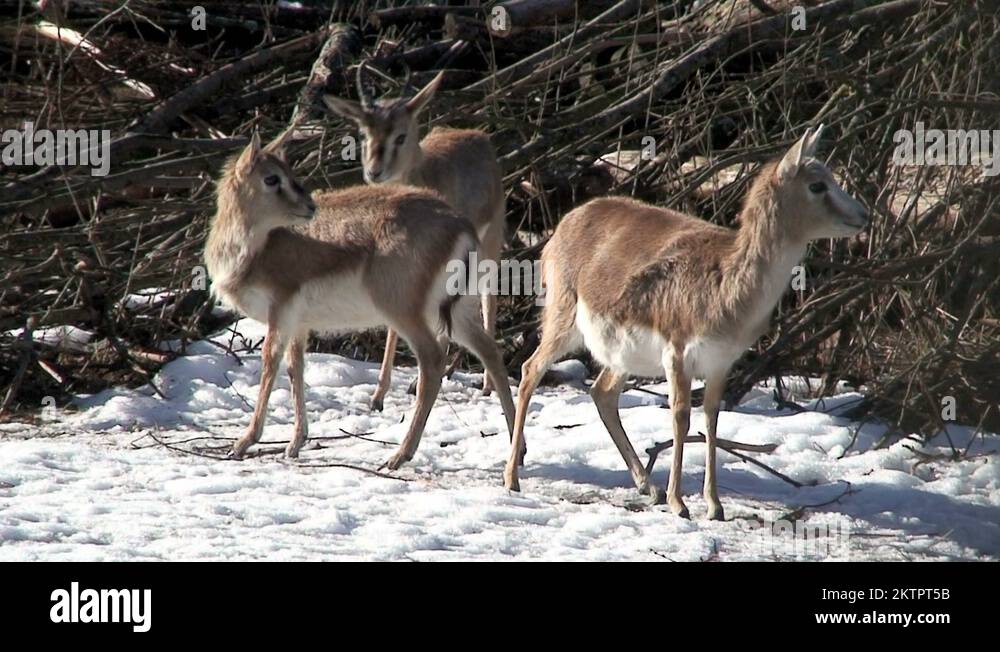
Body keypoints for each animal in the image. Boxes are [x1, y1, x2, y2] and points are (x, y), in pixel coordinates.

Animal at [204, 132, 516, 468]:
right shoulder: (298, 323)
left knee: (433, 361)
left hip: (406, 312)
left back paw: (399, 454)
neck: (254, 250)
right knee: (490, 350)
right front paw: (295, 442)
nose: (309, 206)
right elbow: (295, 369)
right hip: (455, 311)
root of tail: (460, 226)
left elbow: (270, 365)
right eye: (273, 177)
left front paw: (243, 442)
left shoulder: (281, 312)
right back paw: (518, 448)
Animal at [322, 65, 506, 410]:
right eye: (364, 133)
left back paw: (485, 383)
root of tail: (478, 136)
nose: (374, 171)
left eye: (400, 135)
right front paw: (378, 395)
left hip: (489, 248)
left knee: (488, 301)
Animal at [504, 126, 869, 520]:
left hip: (620, 355)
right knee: (530, 369)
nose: (863, 214)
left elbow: (711, 418)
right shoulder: (677, 353)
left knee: (601, 392)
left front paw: (714, 505)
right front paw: (680, 503)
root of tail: (563, 226)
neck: (729, 289)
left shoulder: (722, 362)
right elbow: (680, 416)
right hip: (563, 320)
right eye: (817, 185)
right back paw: (512, 478)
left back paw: (647, 486)